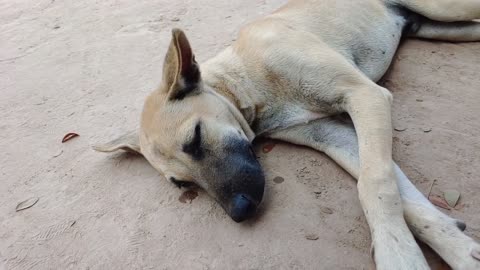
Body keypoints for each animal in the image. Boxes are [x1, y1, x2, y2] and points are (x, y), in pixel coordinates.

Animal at [94, 1, 480, 268]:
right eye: (182, 184)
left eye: (196, 138)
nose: (240, 212)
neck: (249, 80)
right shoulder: (337, 137)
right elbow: (400, 194)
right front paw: (457, 247)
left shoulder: (366, 96)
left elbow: (376, 185)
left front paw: (397, 253)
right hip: (445, 26)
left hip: (447, 8)